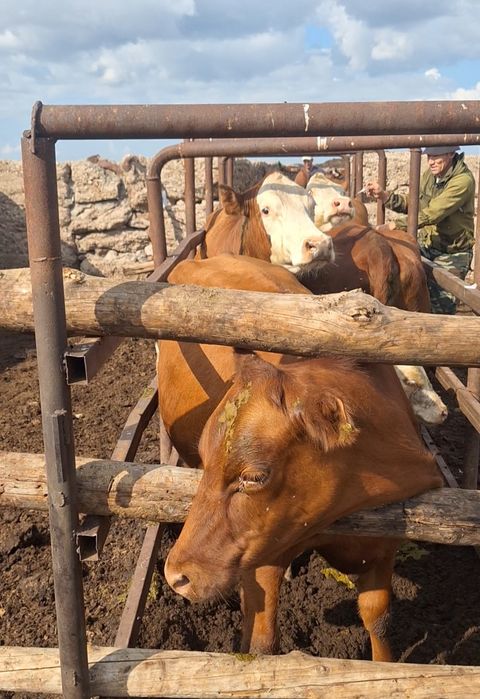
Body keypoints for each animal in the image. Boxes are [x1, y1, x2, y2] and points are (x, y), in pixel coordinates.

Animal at [159, 254, 443, 662]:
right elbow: (262, 643)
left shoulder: (382, 544)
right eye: (205, 455)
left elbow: (379, 619)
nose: (176, 576)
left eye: (255, 476)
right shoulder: (262, 553)